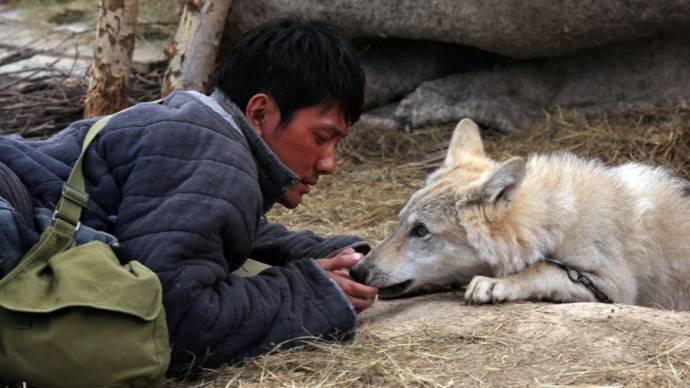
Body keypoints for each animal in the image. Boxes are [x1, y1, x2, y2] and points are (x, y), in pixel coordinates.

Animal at [350, 118, 688, 310]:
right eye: (401, 223)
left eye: (421, 230)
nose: (357, 272)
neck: (551, 222)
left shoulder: (615, 286)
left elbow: (541, 269)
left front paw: (494, 284)